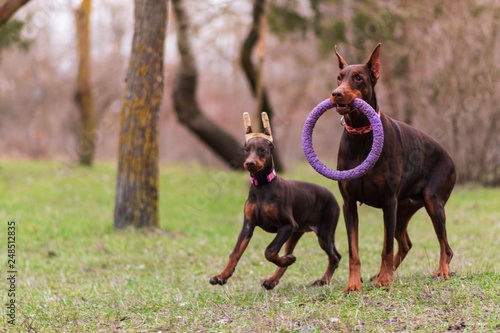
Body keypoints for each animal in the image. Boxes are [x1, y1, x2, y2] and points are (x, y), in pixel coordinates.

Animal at [209, 112, 342, 288]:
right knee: (291, 253)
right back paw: (274, 278)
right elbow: (235, 253)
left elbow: (269, 251)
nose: (249, 163)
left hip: (323, 233)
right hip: (296, 232)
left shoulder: (287, 225)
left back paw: (323, 280)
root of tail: (331, 194)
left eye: (262, 149)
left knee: (335, 257)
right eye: (246, 150)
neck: (261, 186)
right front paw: (222, 276)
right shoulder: (248, 226)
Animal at [332, 43, 458, 290]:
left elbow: (386, 248)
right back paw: (376, 275)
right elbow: (354, 251)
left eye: (358, 78)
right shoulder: (349, 204)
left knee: (445, 246)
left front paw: (385, 280)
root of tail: (451, 158)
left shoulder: (389, 201)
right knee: (406, 243)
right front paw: (354, 284)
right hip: (404, 209)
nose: (336, 93)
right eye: (339, 77)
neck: (362, 135)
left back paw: (441, 271)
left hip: (432, 203)